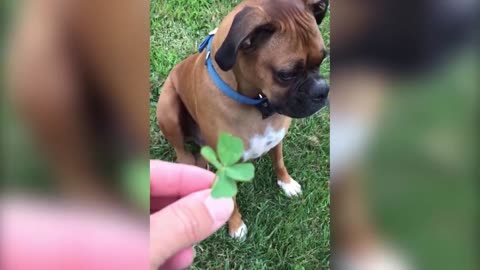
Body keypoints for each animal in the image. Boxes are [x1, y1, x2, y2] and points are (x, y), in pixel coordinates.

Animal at [158, 0, 330, 240]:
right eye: (286, 74)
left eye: (322, 59)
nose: (322, 90)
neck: (257, 104)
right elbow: (230, 197)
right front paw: (236, 225)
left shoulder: (277, 139)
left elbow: (279, 161)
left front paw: (286, 183)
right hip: (168, 106)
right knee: (181, 150)